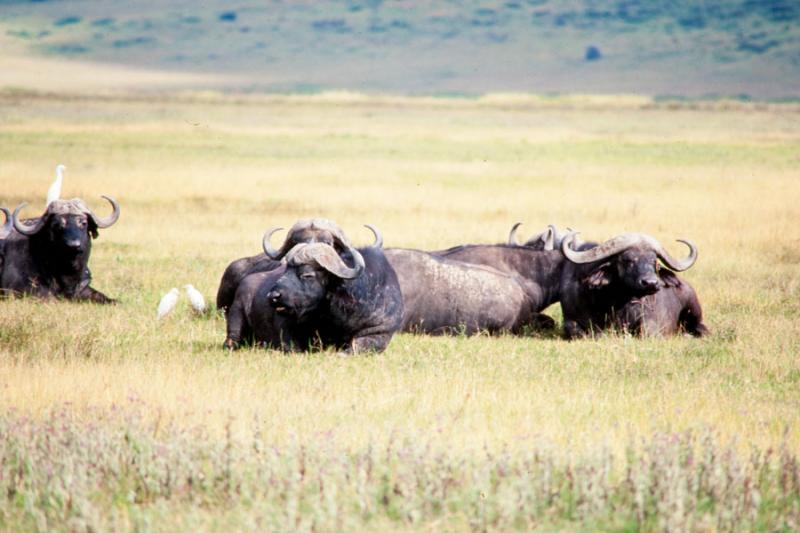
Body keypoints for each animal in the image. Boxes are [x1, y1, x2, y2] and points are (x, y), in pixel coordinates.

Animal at [556, 232, 708, 336]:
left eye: (654, 262)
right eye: (628, 260)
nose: (651, 283)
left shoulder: (651, 320)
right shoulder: (571, 320)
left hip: (694, 309)